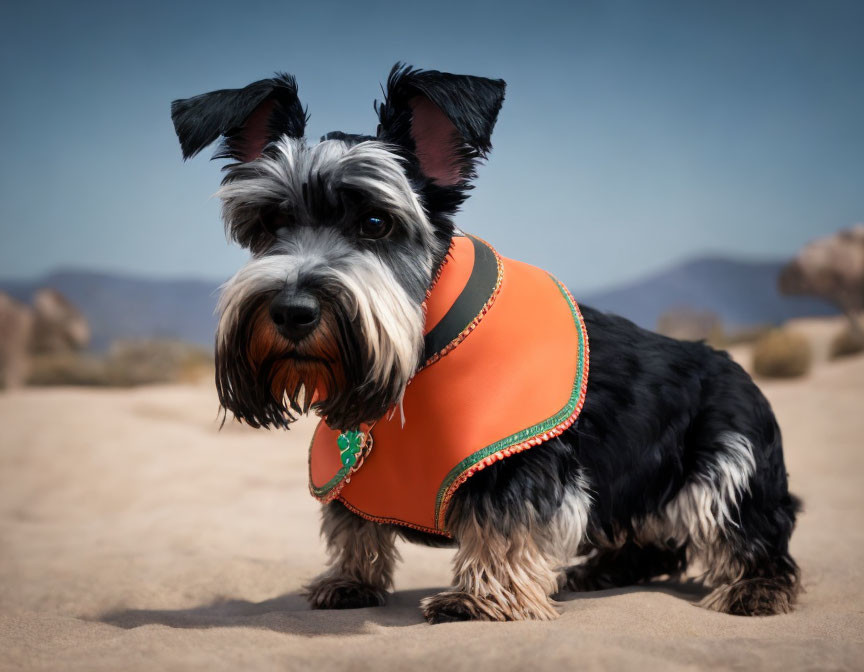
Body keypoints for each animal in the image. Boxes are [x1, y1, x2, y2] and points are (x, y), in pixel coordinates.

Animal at [170, 65, 804, 624]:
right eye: (268, 224)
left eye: (375, 223)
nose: (292, 311)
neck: (419, 350)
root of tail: (734, 367)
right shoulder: (350, 477)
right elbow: (354, 525)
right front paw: (349, 581)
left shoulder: (519, 464)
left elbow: (502, 528)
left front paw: (479, 600)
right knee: (653, 540)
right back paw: (597, 570)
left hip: (729, 468)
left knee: (755, 535)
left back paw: (754, 589)